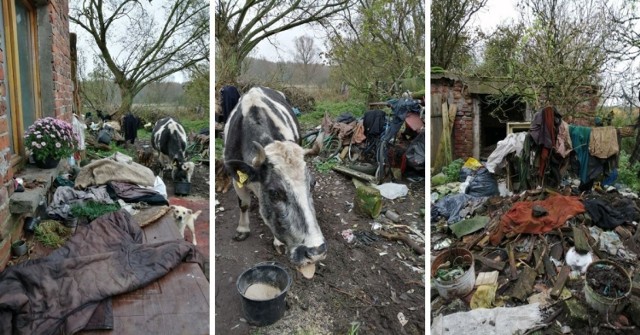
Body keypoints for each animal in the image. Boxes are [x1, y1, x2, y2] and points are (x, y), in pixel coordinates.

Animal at [224, 86, 324, 268]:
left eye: (313, 184)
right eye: (274, 193)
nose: (316, 252)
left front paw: (278, 242)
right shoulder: (235, 178)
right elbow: (243, 204)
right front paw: (242, 230)